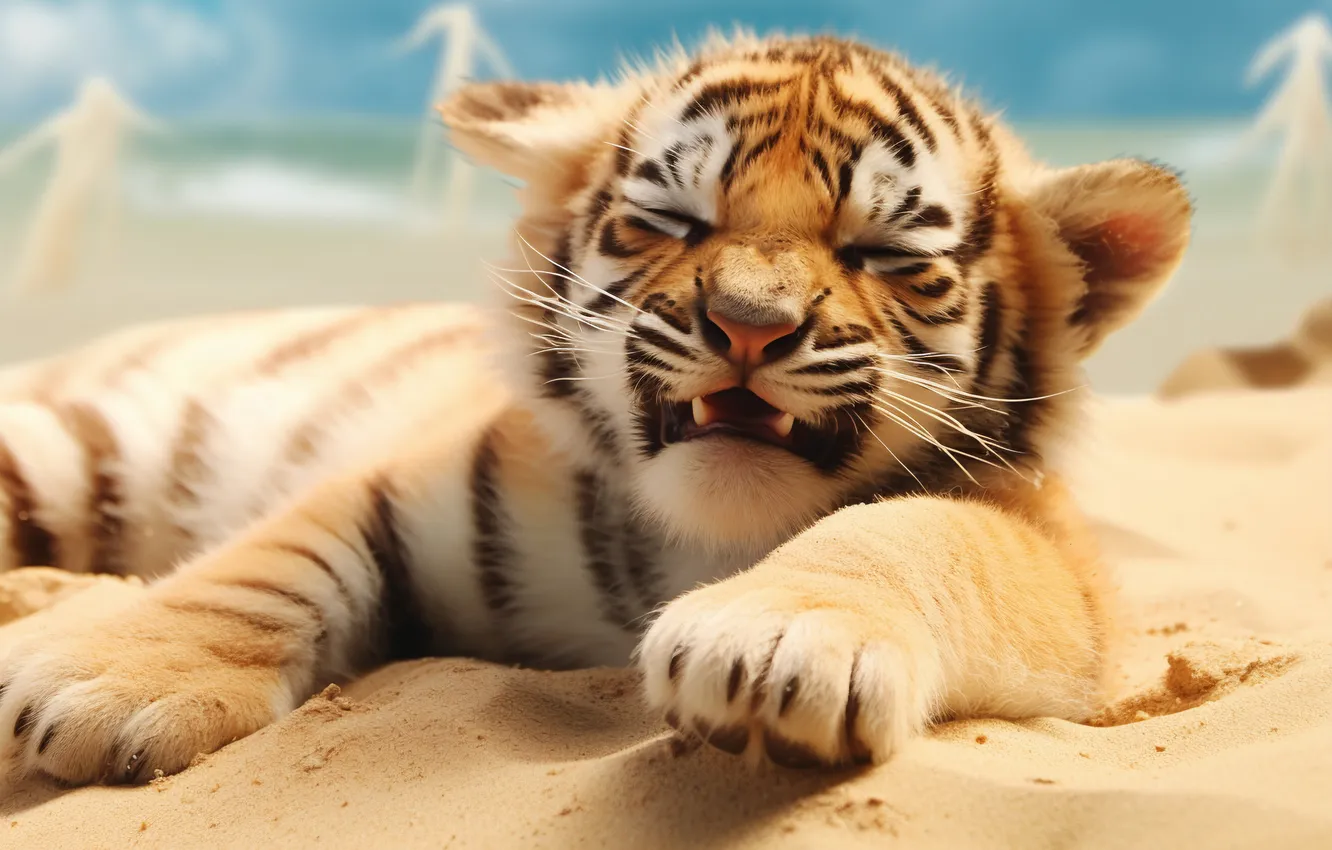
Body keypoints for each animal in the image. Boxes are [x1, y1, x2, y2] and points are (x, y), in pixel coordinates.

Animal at [0, 31, 1190, 785]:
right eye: (672, 220)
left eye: (882, 254)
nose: (749, 324)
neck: (714, 534)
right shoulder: (406, 480)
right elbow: (262, 571)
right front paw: (113, 684)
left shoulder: (1053, 557)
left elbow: (914, 536)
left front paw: (774, 645)